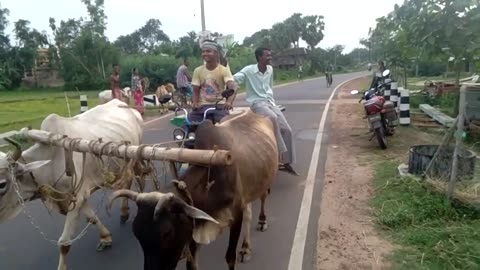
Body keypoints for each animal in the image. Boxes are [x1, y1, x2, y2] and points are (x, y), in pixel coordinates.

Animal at [0, 99, 144, 270]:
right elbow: (92, 218)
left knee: (135, 179)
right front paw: (105, 238)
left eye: (2, 184)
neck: (51, 161)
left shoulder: (77, 196)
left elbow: (64, 243)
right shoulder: (77, 197)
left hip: (134, 156)